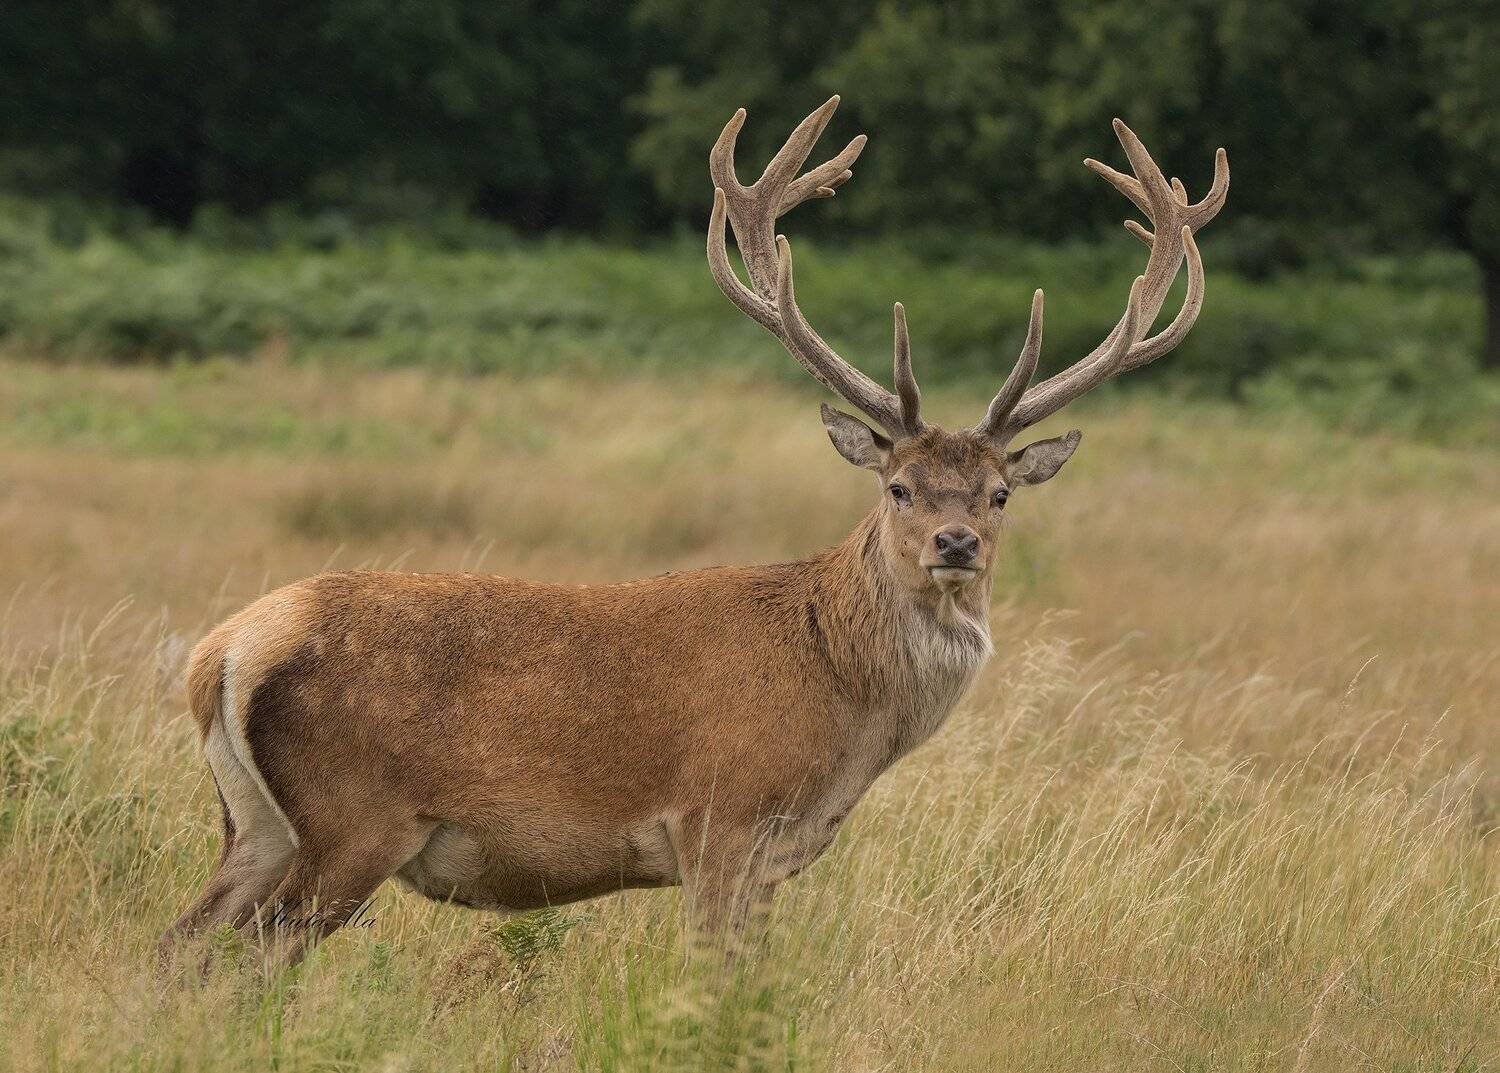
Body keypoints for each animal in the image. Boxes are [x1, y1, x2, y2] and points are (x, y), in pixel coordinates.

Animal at [159, 96, 1227, 970]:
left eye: (1001, 493)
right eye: (898, 486)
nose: (954, 543)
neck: (838, 697)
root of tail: (223, 651)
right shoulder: (722, 816)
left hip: (254, 824)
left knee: (181, 948)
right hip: (351, 818)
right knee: (247, 960)